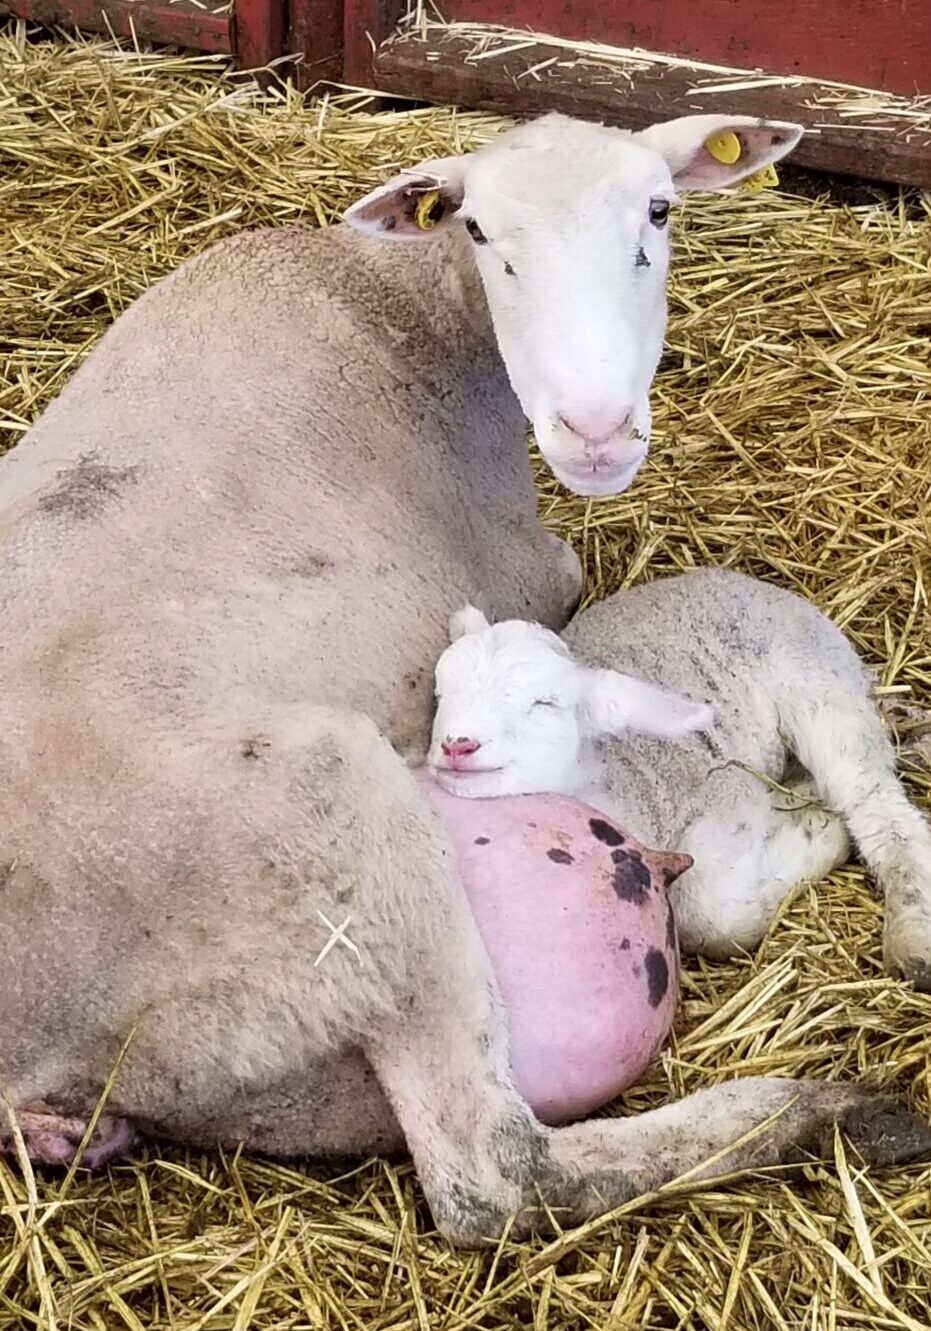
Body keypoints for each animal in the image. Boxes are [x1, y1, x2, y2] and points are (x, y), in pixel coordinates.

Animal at [429, 567, 931, 976]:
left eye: (544, 703)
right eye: (440, 693)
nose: (457, 744)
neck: (608, 779)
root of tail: (742, 580)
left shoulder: (727, 795)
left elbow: (705, 916)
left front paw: (821, 835)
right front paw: (805, 816)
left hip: (818, 687)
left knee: (878, 807)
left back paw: (912, 937)